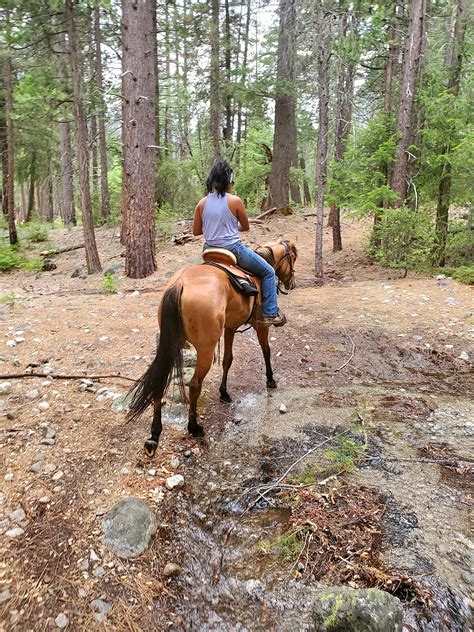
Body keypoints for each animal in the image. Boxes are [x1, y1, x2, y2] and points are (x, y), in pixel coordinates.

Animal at [125, 239, 296, 456]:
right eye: (292, 258)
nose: (292, 284)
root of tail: (179, 284)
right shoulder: (260, 325)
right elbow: (266, 350)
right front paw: (271, 380)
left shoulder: (230, 327)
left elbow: (227, 360)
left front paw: (224, 393)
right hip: (205, 349)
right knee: (194, 385)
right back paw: (194, 427)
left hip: (172, 344)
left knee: (160, 380)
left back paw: (154, 437)